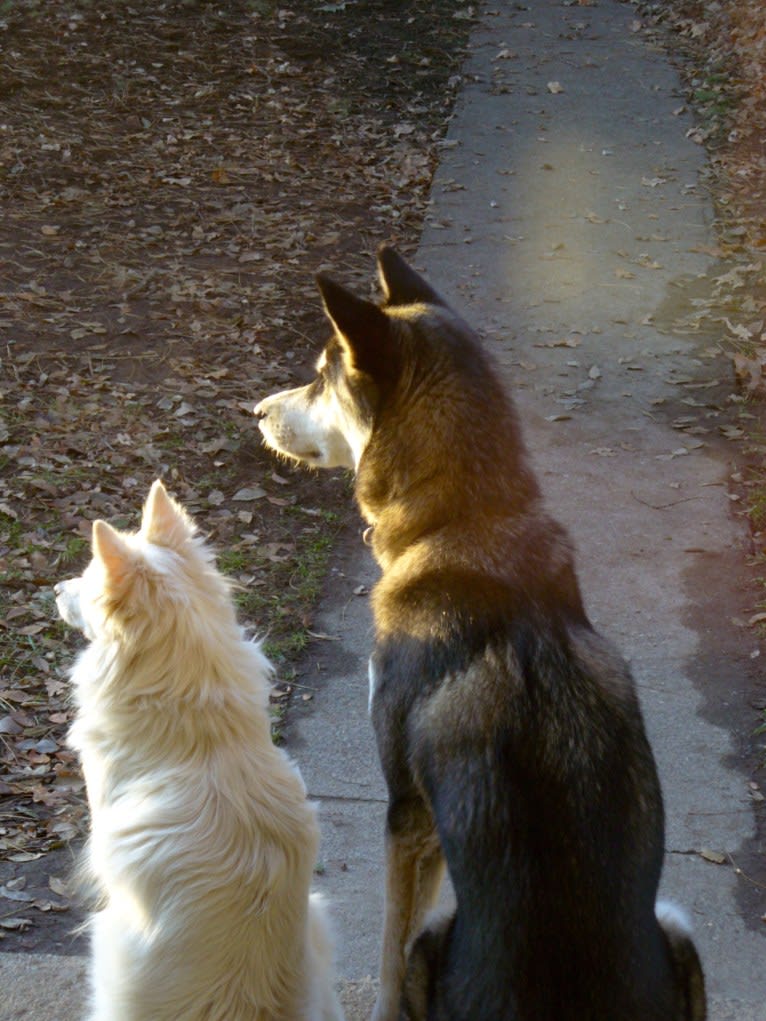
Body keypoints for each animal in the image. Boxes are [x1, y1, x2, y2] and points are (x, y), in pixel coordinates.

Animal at [256, 249, 706, 1021]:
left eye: (320, 373)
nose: (256, 411)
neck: (464, 521)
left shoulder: (408, 819)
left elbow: (385, 955)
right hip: (678, 930)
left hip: (444, 932)